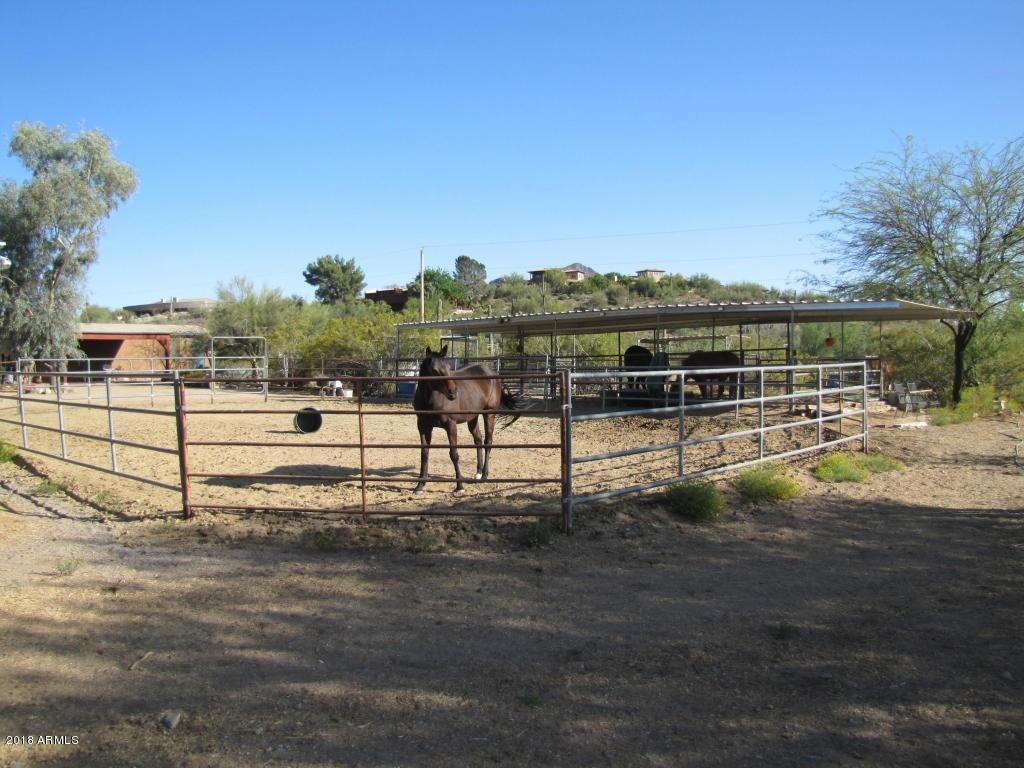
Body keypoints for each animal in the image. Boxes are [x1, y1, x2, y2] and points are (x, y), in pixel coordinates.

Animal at [413, 345, 524, 493]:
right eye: (435, 370)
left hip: (489, 414)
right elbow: (424, 453)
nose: (453, 392)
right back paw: (478, 473)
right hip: (473, 417)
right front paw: (420, 485)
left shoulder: (451, 425)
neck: (431, 400)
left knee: (488, 441)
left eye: (448, 367)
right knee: (478, 439)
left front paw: (459, 485)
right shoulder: (423, 426)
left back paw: (484, 475)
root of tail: (494, 374)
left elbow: (454, 454)